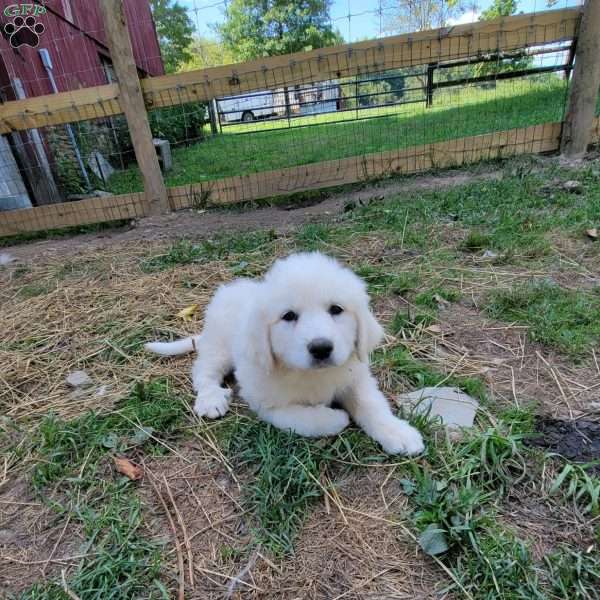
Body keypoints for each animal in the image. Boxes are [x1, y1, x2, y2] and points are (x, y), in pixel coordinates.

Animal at [146, 252, 424, 454]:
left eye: (336, 309)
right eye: (288, 316)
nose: (321, 348)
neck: (310, 374)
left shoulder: (355, 377)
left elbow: (372, 404)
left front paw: (398, 432)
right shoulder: (267, 403)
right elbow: (304, 418)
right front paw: (336, 417)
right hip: (219, 347)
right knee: (203, 372)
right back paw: (211, 398)